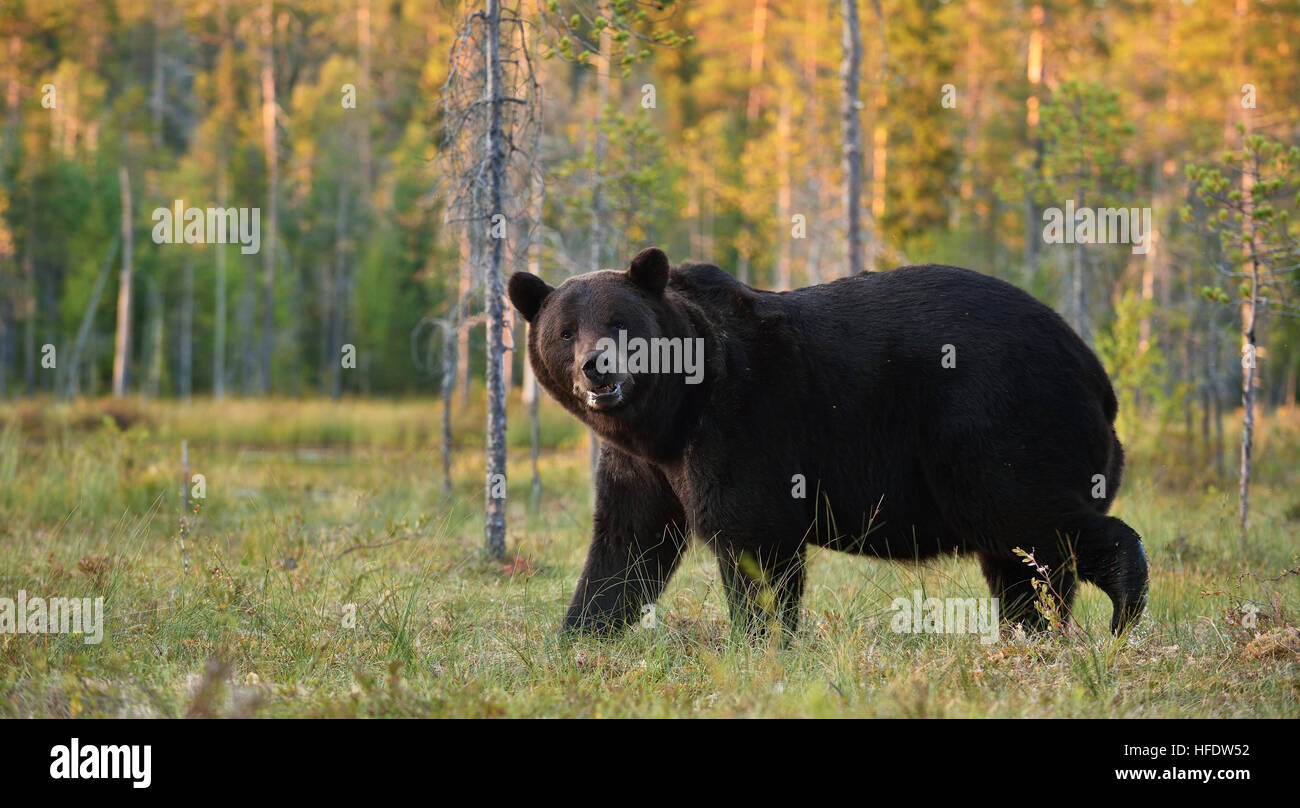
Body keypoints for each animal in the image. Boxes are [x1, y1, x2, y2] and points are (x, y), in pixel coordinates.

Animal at [508, 246, 1149, 639]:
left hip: (995, 420)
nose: (596, 368)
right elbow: (627, 546)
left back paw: (1123, 606)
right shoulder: (641, 464)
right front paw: (580, 636)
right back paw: (1031, 632)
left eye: (621, 323)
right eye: (565, 331)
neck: (672, 414)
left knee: (1028, 515)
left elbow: (753, 539)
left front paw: (761, 639)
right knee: (1021, 562)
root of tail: (1094, 368)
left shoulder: (747, 423)